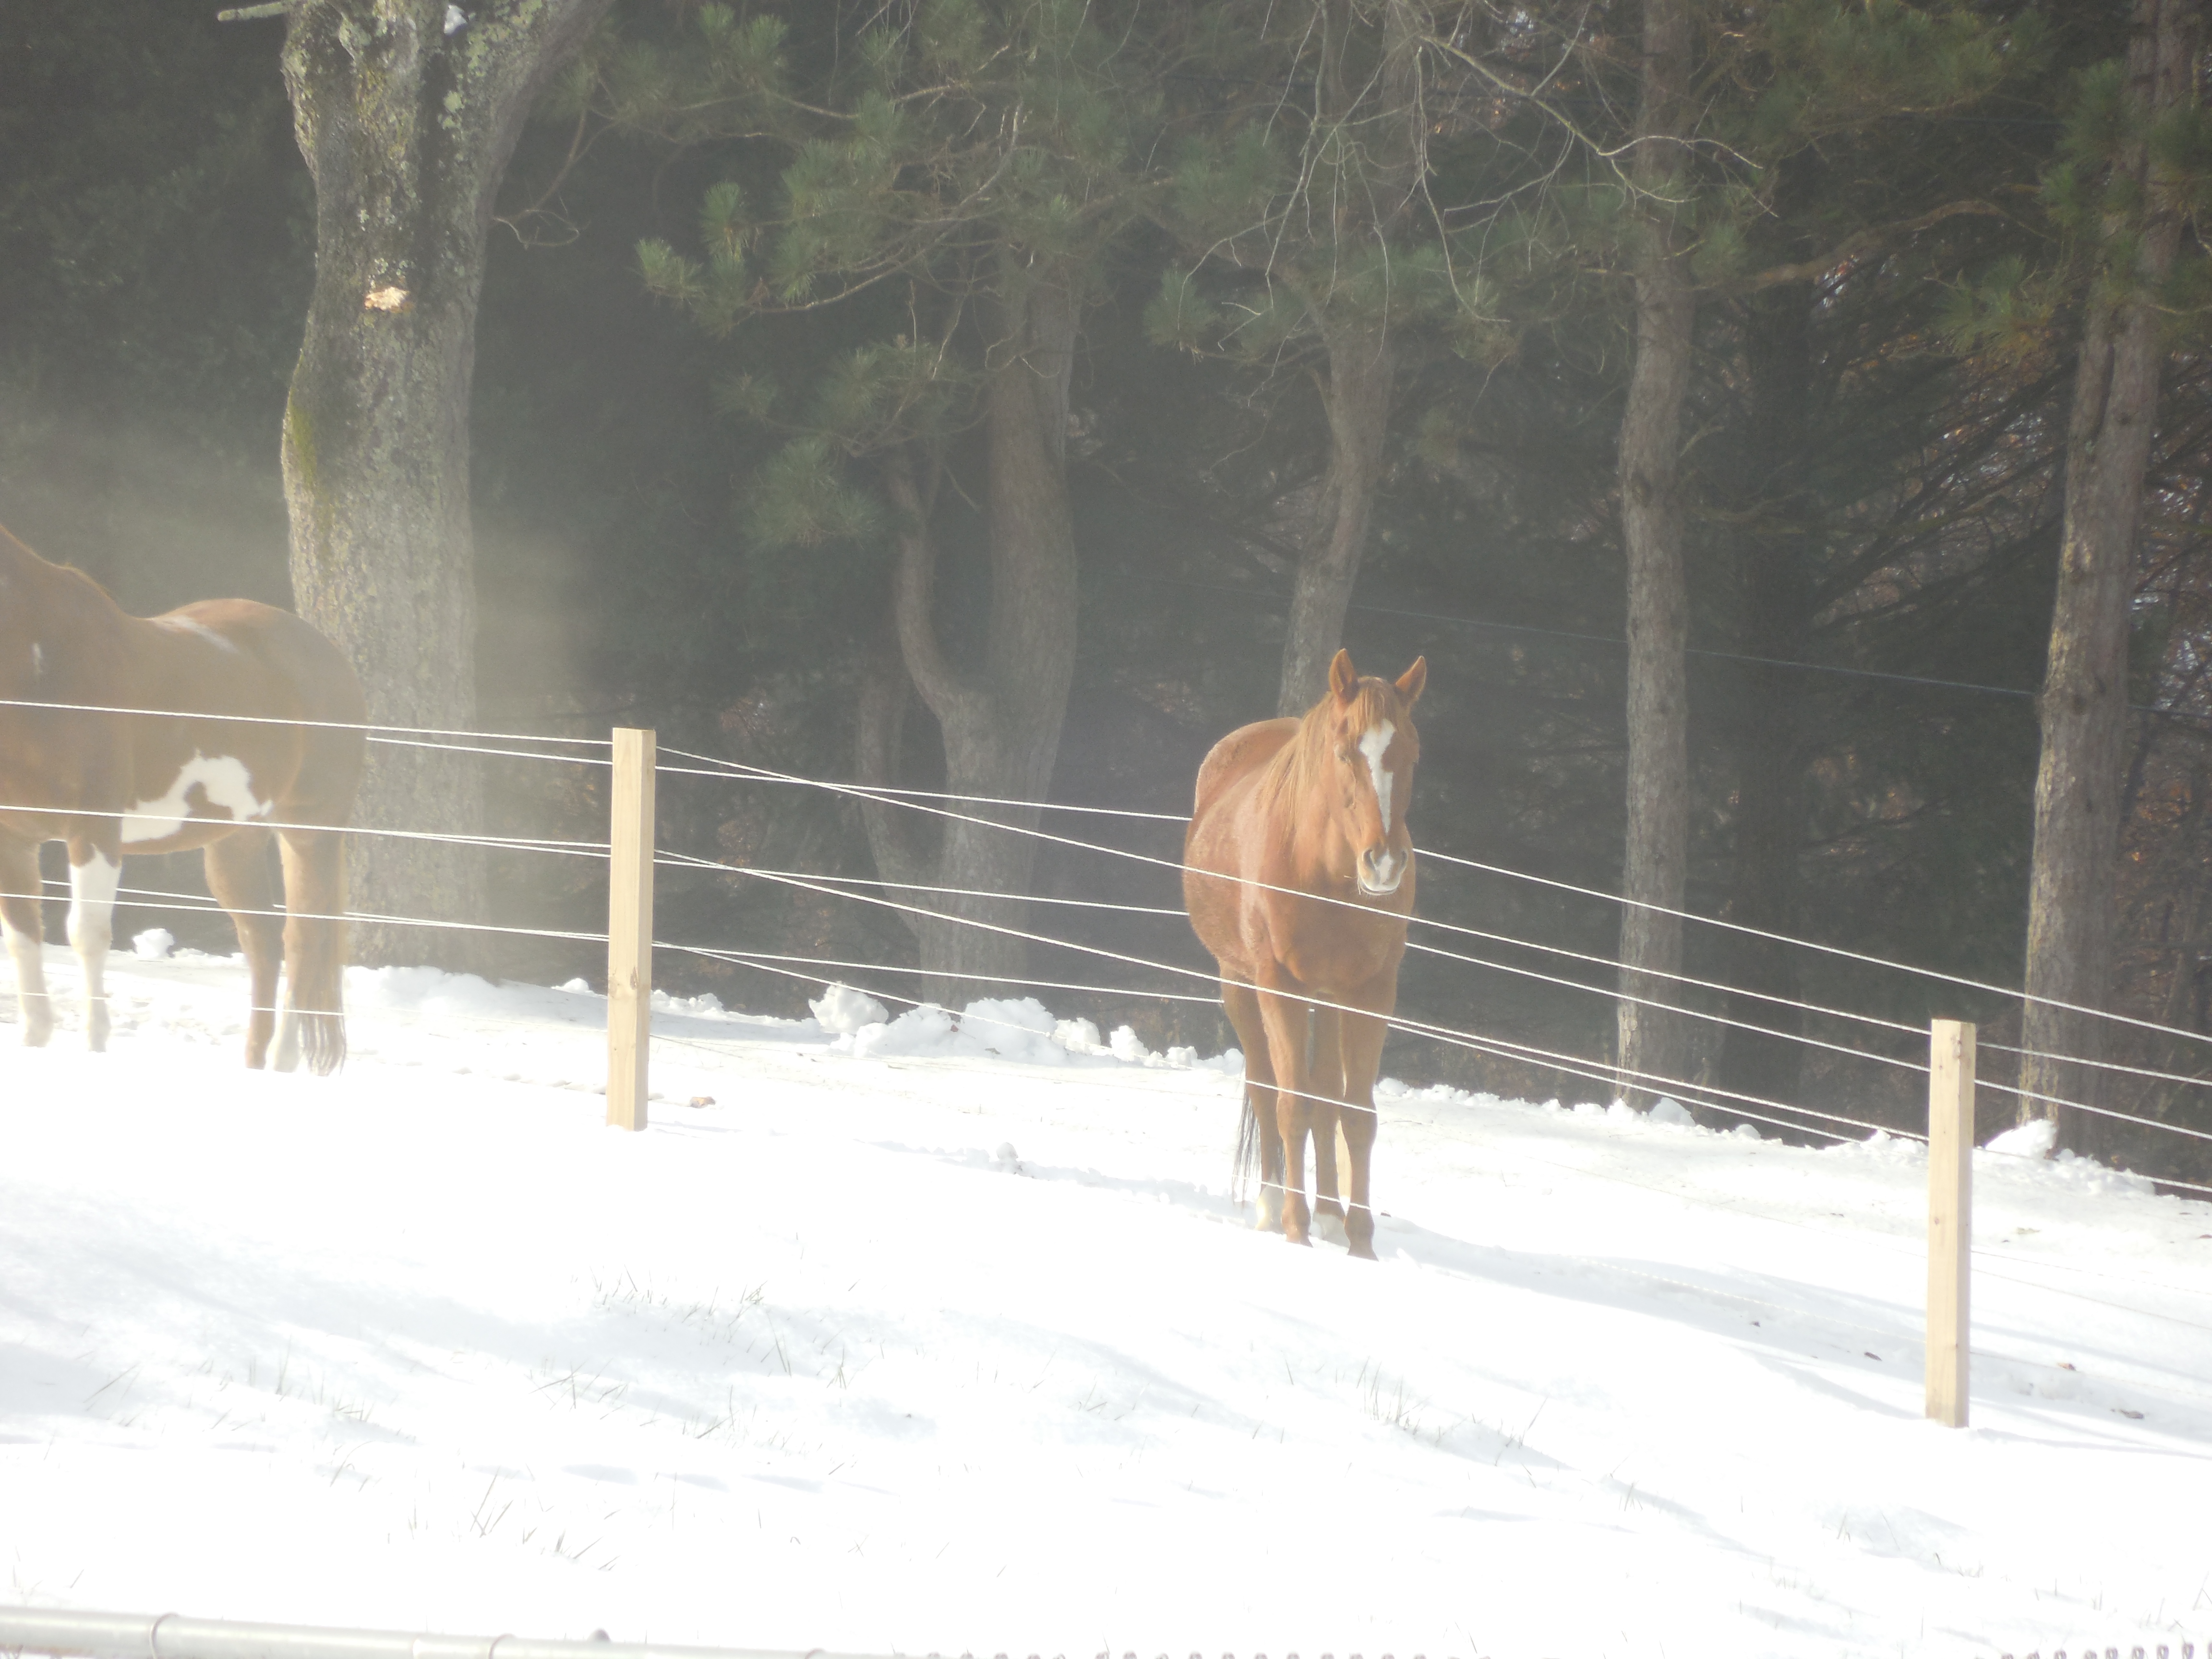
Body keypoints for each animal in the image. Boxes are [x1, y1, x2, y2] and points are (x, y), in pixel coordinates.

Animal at [1, 529, 362, 1079]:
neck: (40, 665)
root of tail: (326, 652)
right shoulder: (13, 840)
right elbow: (23, 938)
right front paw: (34, 1043)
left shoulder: (94, 830)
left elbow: (87, 934)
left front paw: (94, 1046)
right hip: (236, 842)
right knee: (261, 941)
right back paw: (254, 1066)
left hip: (310, 832)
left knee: (302, 939)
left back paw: (282, 1061)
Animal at [1185, 650, 1424, 1256]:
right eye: (1343, 753)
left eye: (1412, 755)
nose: (1384, 864)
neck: (1322, 870)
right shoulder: (1279, 984)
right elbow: (1290, 1103)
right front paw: (1295, 1229)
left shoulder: (1370, 991)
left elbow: (1354, 1113)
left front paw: (1361, 1243)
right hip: (1239, 982)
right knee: (1265, 1087)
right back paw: (1273, 1205)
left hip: (1328, 996)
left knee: (1325, 1093)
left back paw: (1333, 1215)